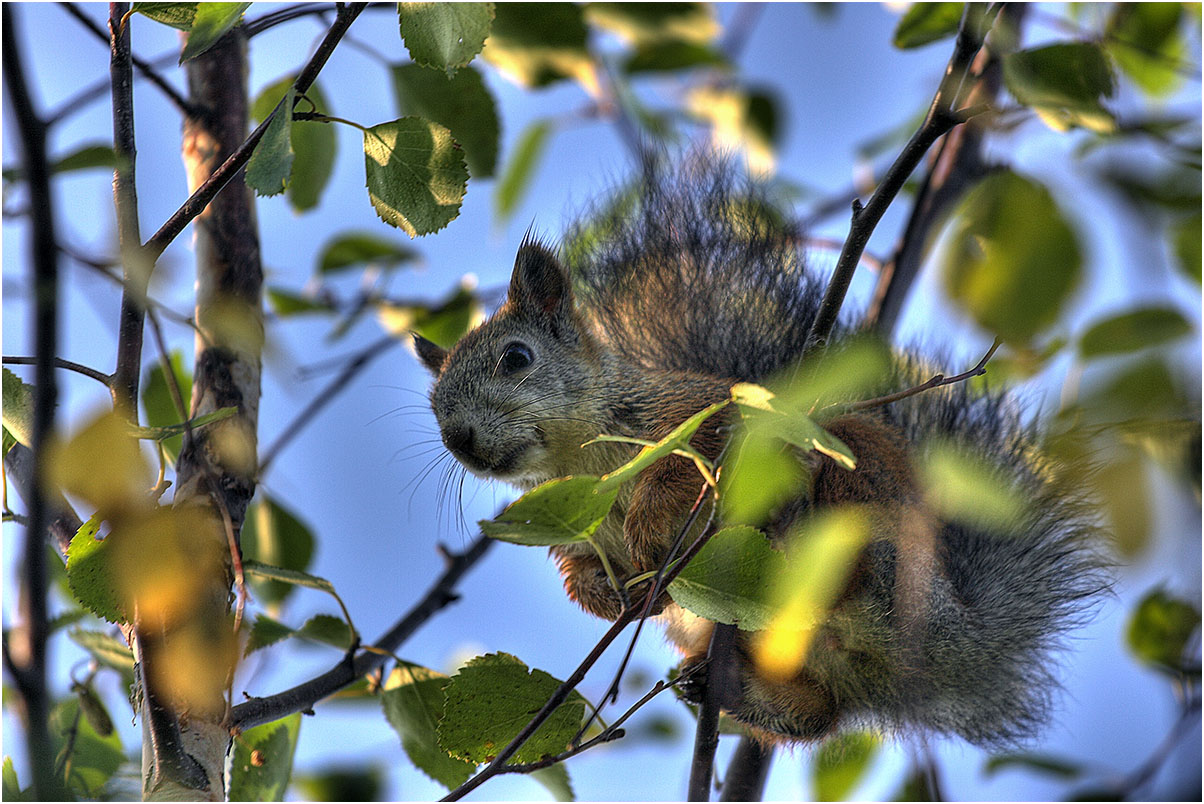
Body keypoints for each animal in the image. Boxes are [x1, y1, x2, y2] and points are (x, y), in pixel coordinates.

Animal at [416, 156, 1107, 746]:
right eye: (434, 404)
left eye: (516, 358)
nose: (459, 439)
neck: (583, 465)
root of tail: (953, 648)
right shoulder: (573, 524)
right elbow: (577, 572)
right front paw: (613, 595)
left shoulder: (705, 420)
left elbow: (681, 472)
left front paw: (648, 534)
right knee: (819, 715)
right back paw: (724, 687)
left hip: (871, 509)